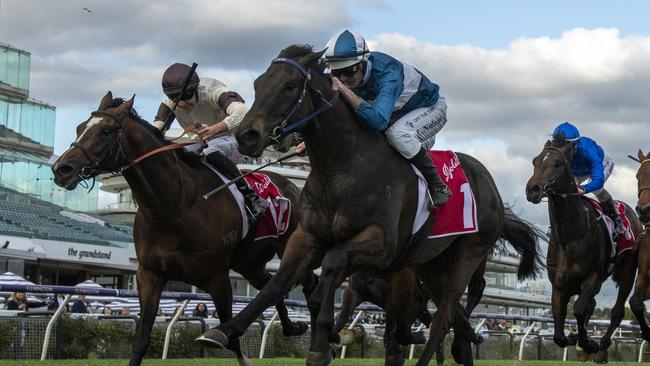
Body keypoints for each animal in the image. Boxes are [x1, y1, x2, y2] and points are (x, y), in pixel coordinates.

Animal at [51, 93, 314, 364]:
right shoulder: (149, 274)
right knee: (273, 285)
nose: (62, 169)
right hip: (248, 262)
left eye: (105, 131)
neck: (173, 204)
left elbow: (231, 340)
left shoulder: (218, 278)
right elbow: (141, 339)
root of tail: (292, 186)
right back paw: (292, 327)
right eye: (80, 128)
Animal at [195, 45, 540, 366]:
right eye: (258, 83)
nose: (246, 136)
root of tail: (491, 185)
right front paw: (223, 330)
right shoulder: (307, 236)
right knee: (455, 318)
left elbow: (332, 262)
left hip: (467, 255)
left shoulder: (382, 244)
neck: (342, 167)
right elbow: (277, 284)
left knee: (442, 320)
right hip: (431, 265)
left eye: (289, 86)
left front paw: (321, 344)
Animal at [524, 137, 636, 364]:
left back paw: (602, 349)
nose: (533, 189)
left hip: (628, 272)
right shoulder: (559, 286)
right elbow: (558, 332)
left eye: (558, 163)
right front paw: (575, 338)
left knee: (617, 311)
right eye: (535, 161)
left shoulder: (592, 278)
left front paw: (589, 343)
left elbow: (578, 309)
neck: (569, 236)